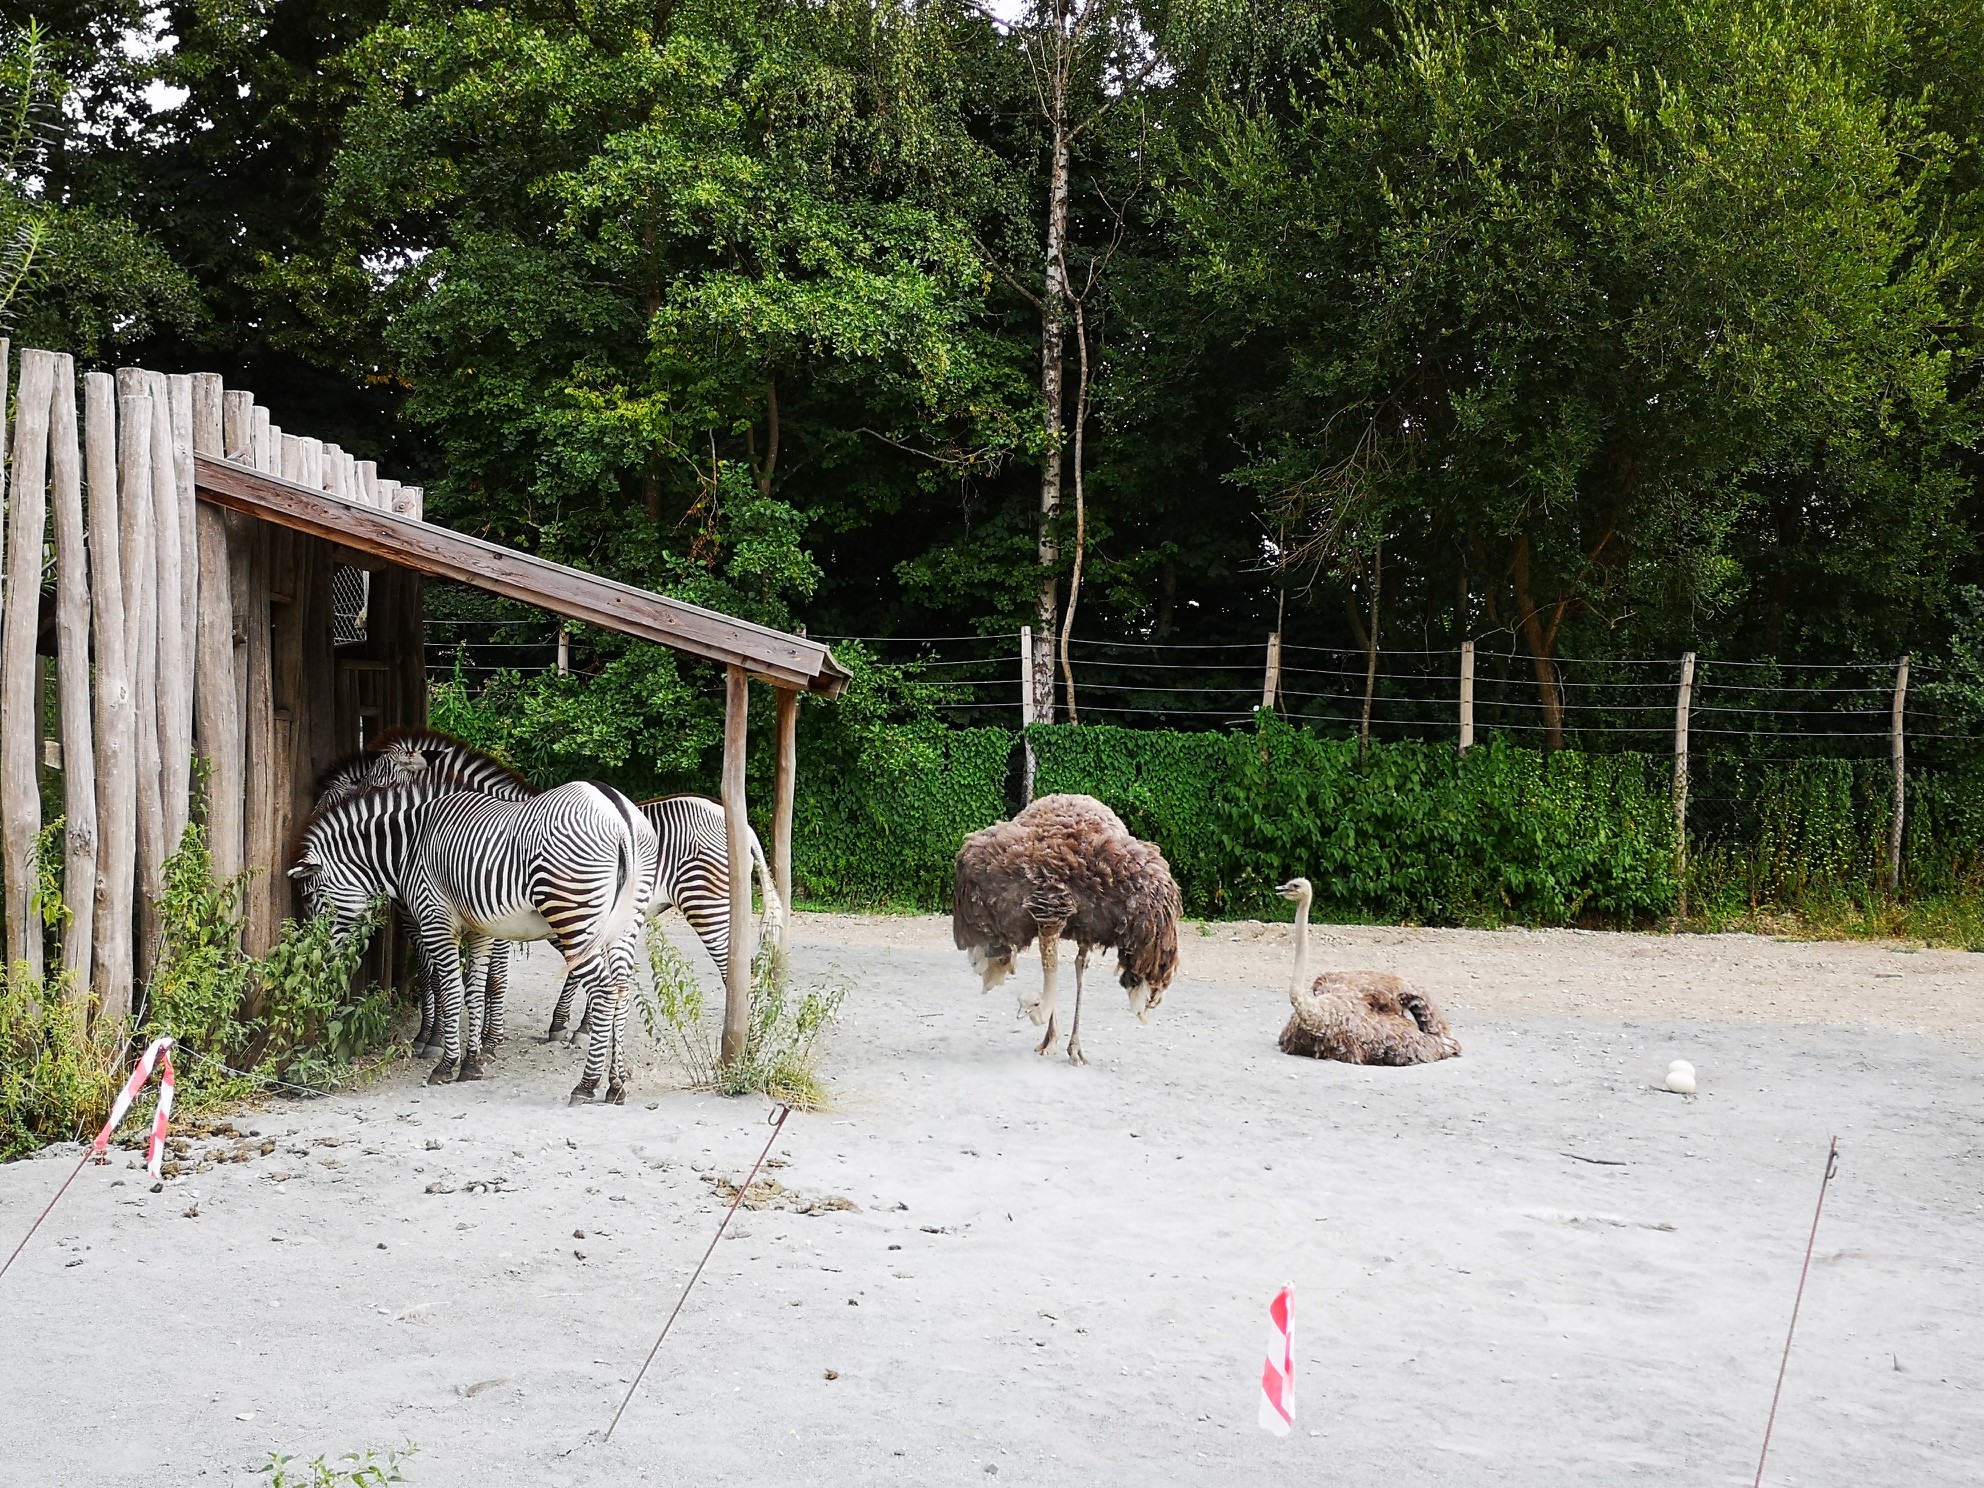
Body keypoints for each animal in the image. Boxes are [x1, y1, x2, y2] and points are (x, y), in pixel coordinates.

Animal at [289, 781, 654, 1111]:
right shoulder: (480, 930)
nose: (320, 957)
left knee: (605, 990)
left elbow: (451, 992)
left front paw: (446, 1065)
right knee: (621, 991)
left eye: (311, 896)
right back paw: (616, 1084)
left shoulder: (435, 920)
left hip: (573, 912)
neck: (410, 847)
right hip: (622, 923)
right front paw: (473, 1062)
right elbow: (476, 992)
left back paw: (586, 1085)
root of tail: (616, 810)